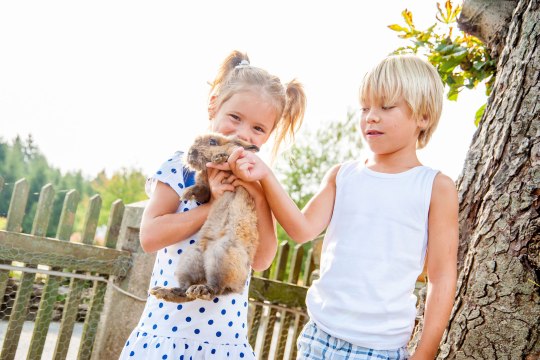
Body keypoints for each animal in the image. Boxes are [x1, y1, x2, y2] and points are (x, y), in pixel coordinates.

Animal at [150, 134, 262, 302]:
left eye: (213, 142)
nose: (191, 152)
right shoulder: (206, 189)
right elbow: (202, 191)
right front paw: (187, 194)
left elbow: (230, 158)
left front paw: (220, 157)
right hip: (191, 259)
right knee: (185, 291)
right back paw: (164, 291)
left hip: (221, 257)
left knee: (215, 289)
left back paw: (199, 290)